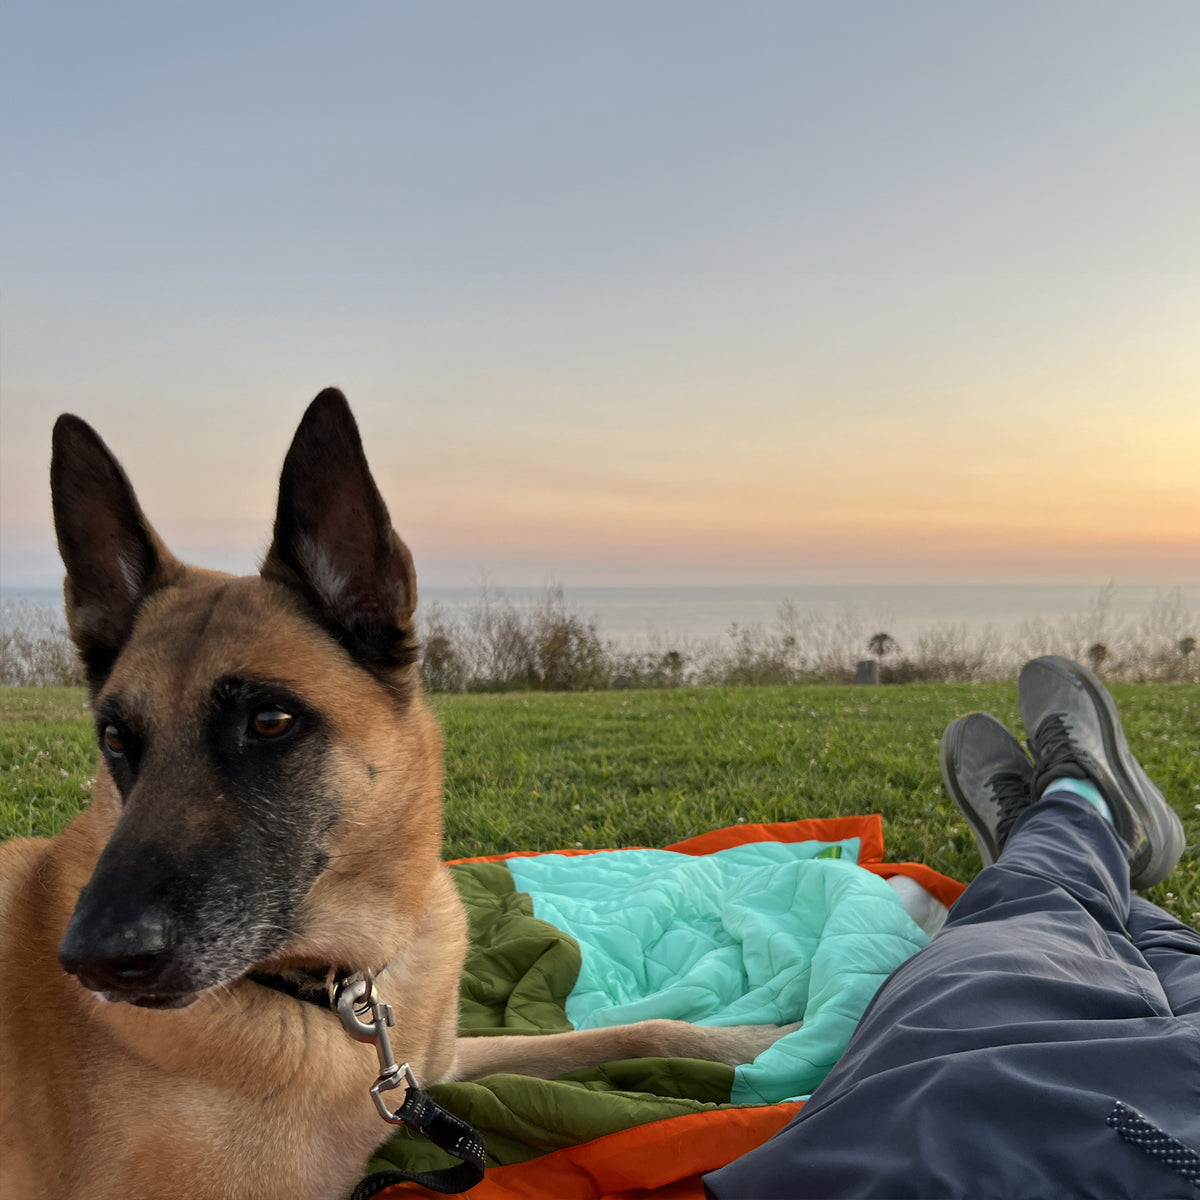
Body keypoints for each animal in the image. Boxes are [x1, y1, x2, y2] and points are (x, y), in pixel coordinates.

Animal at [2, 388, 796, 1195]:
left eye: (269, 720)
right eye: (116, 739)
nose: (93, 961)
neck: (332, 991)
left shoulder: (438, 1067)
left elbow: (626, 1031)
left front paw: (763, 1040)